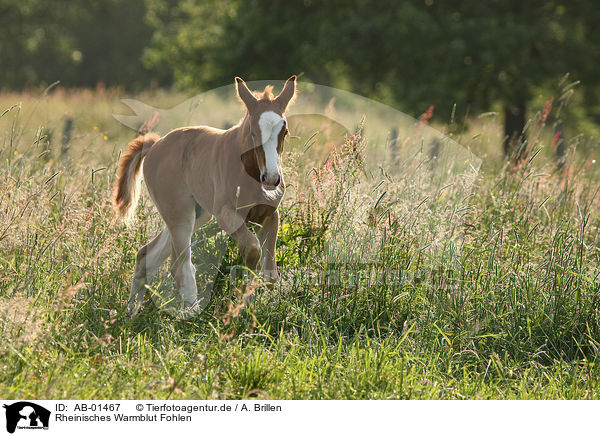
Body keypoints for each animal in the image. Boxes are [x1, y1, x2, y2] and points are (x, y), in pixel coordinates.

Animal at [113, 74, 298, 314]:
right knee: (180, 265)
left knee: (146, 255)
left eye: (284, 132)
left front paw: (271, 304)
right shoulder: (226, 214)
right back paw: (192, 311)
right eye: (253, 132)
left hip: (197, 214)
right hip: (181, 213)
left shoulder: (270, 215)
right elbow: (252, 249)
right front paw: (245, 302)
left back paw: (131, 313)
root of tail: (154, 145)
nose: (271, 179)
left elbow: (271, 269)